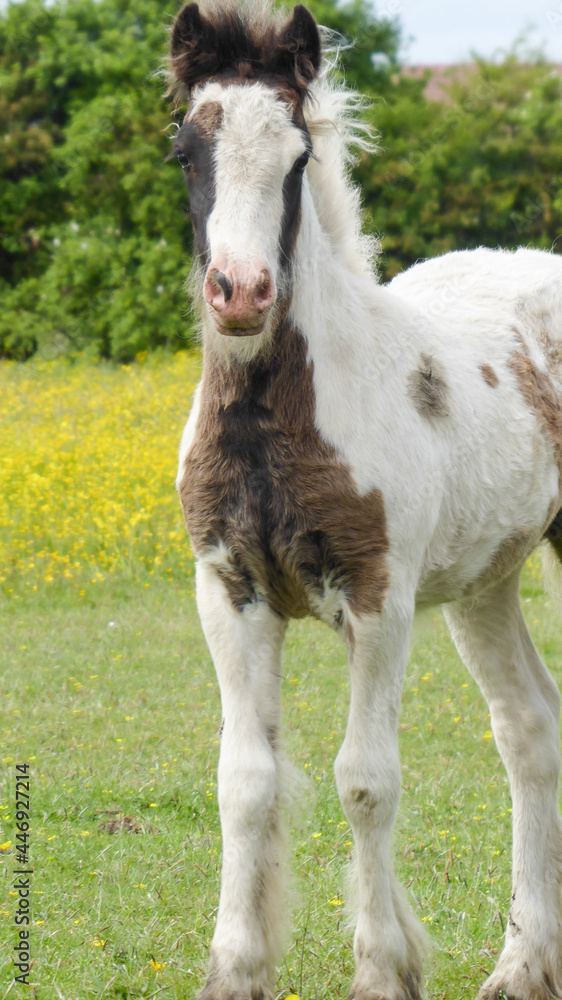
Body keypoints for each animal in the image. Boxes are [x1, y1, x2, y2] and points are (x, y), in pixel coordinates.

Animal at [168, 3, 560, 996]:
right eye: (186, 150)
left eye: (298, 156)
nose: (241, 292)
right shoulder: (229, 592)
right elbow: (244, 780)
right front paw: (235, 967)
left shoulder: (379, 596)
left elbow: (365, 779)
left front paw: (384, 968)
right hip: (484, 584)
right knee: (528, 729)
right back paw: (521, 964)